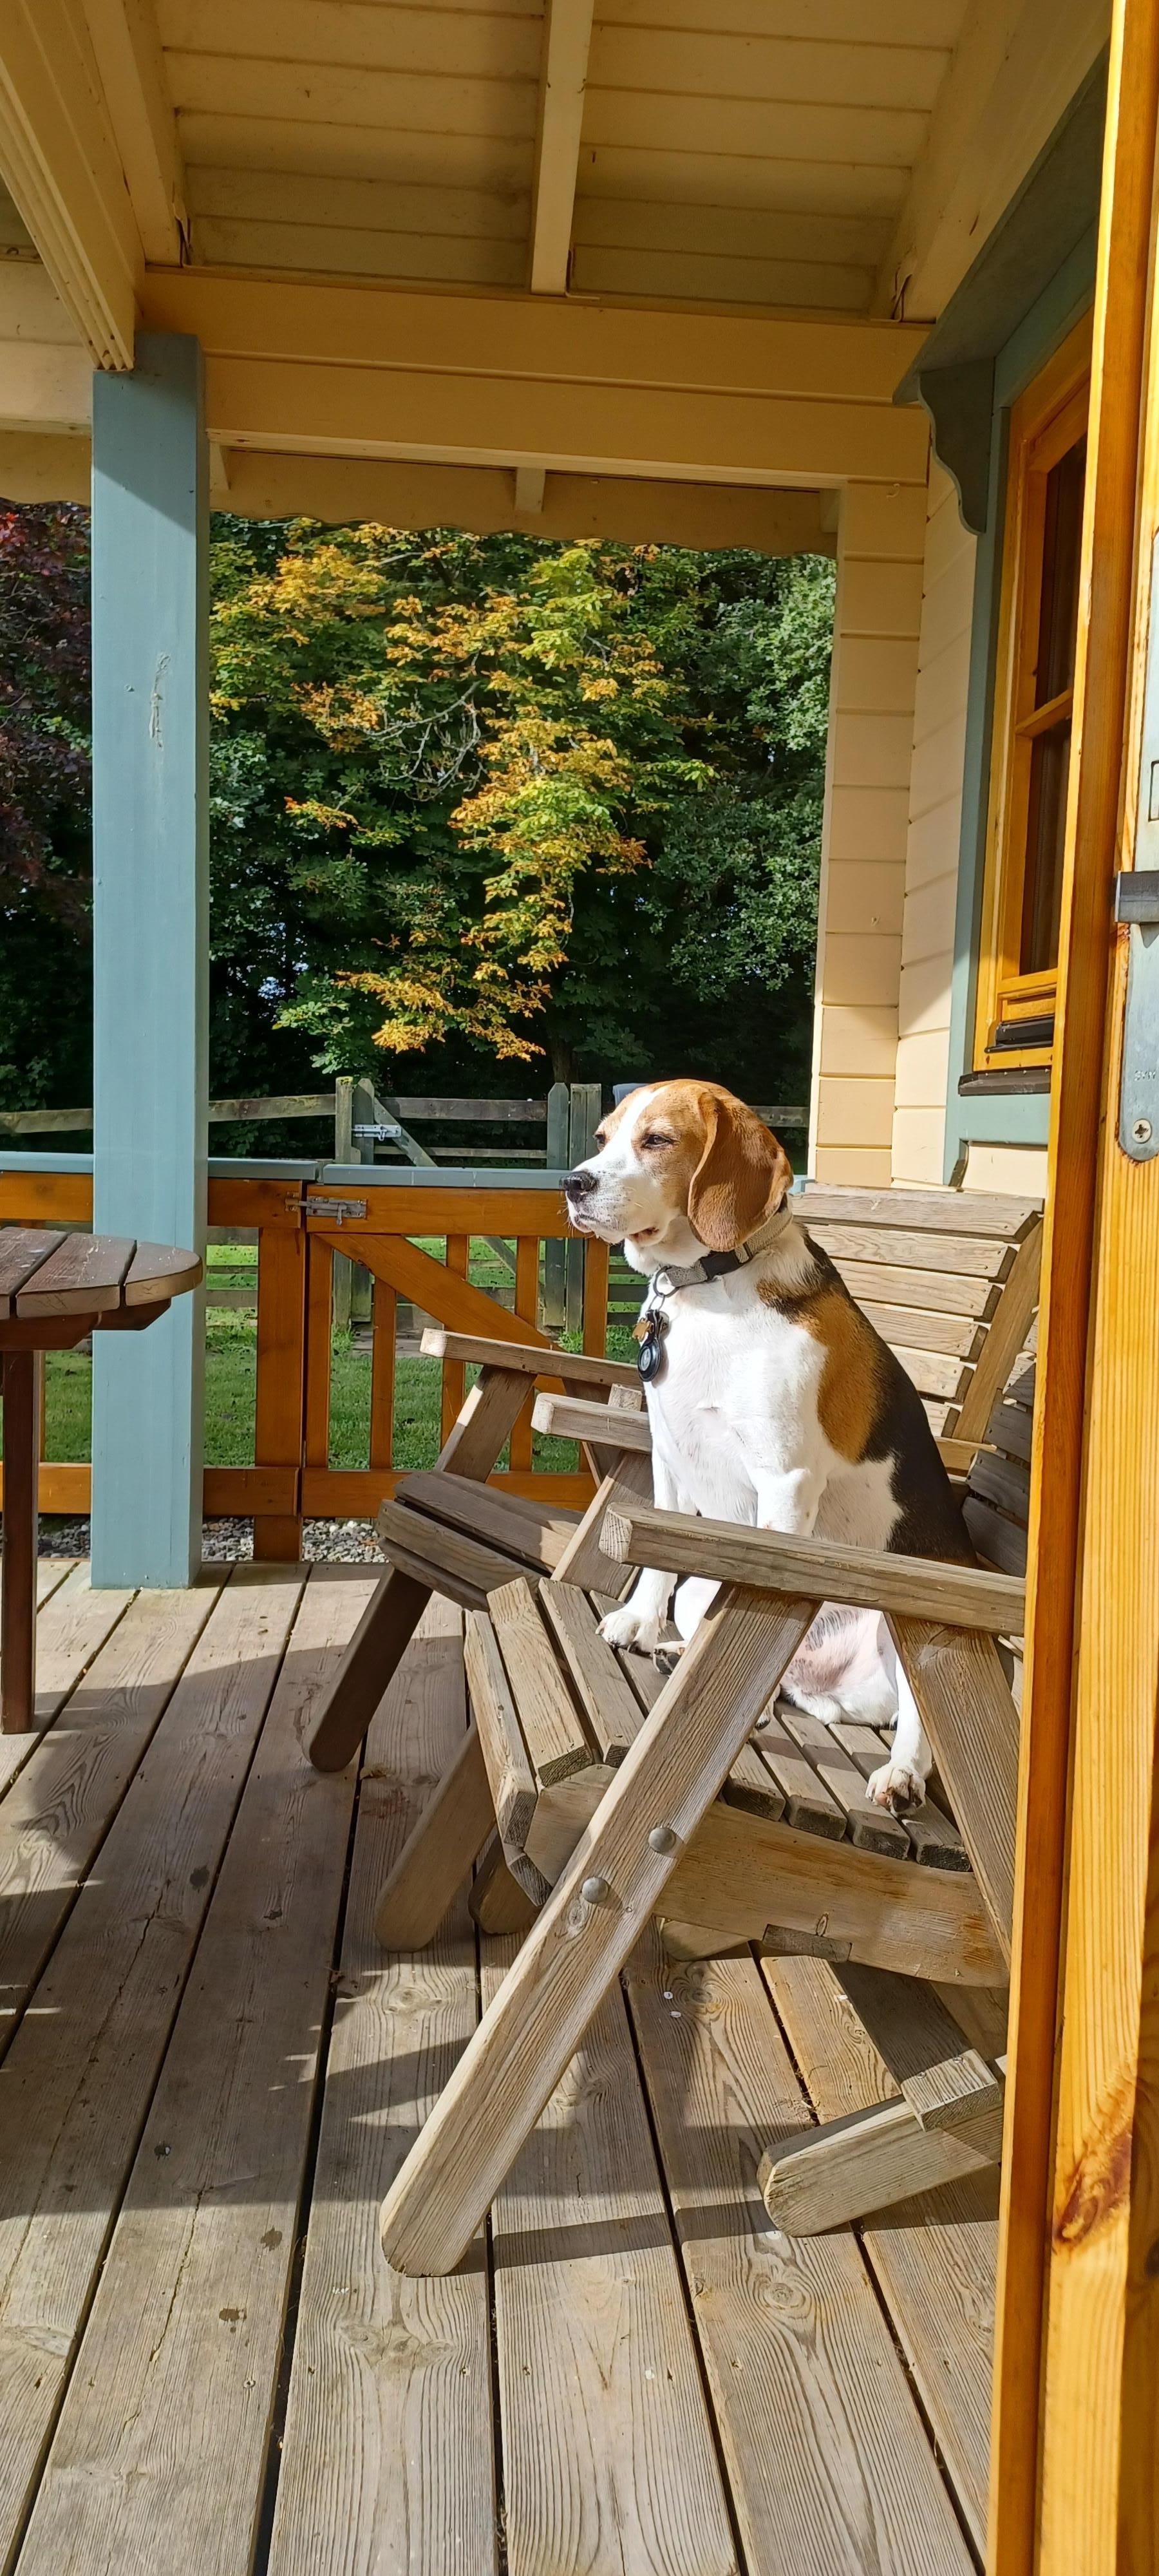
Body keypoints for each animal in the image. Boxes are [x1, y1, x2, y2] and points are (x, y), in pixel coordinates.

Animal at [561, 1072, 968, 1814]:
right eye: (604, 1137)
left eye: (657, 1140)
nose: (573, 1183)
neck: (707, 1288)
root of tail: (831, 1683)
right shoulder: (668, 1455)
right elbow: (655, 1558)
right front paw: (638, 1622)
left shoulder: (785, 1479)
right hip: (704, 1591)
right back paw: (687, 1656)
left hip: (901, 1629)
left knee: (918, 1718)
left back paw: (900, 1773)